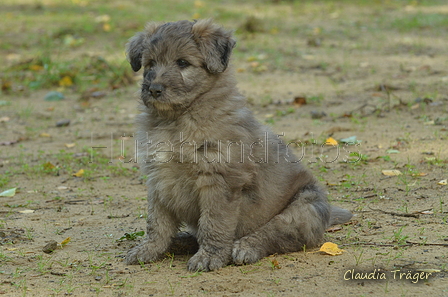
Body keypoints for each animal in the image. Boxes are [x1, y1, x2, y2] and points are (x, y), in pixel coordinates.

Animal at [124, 19, 352, 270]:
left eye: (182, 63)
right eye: (150, 63)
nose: (154, 89)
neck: (178, 118)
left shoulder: (220, 179)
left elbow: (214, 223)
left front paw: (209, 256)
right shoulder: (159, 179)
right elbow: (157, 223)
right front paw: (148, 249)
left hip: (304, 207)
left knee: (277, 233)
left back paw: (245, 247)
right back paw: (180, 241)